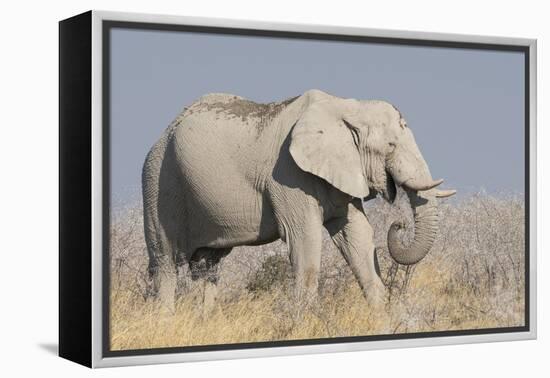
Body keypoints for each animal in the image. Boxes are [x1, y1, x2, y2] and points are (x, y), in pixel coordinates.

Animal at [143, 88, 458, 310]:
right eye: (390, 146)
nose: (399, 225)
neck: (347, 107)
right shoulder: (288, 173)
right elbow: (304, 238)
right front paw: (305, 321)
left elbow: (357, 236)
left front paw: (382, 317)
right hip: (158, 180)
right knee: (166, 262)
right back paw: (165, 322)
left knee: (206, 266)